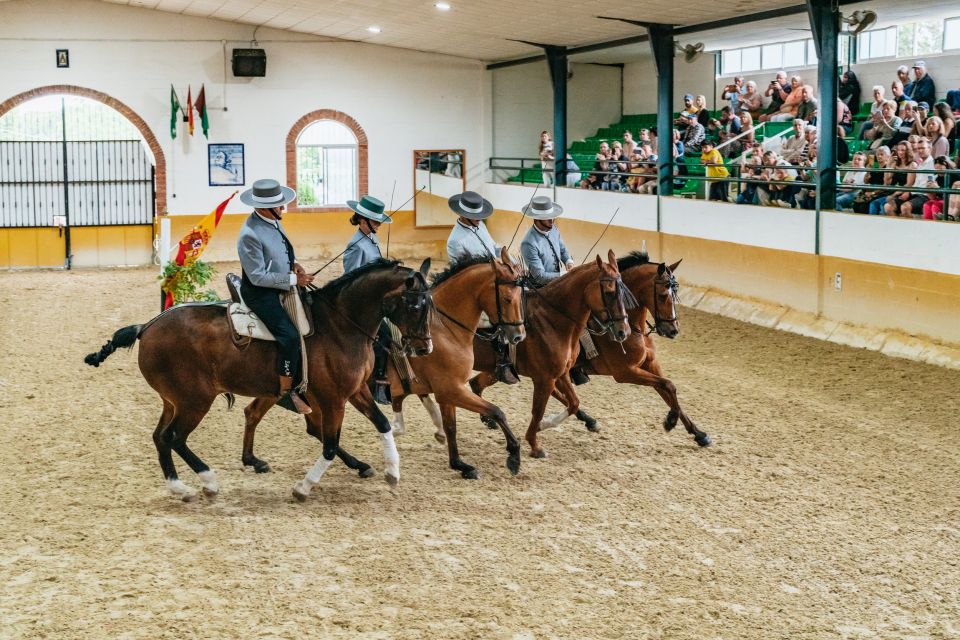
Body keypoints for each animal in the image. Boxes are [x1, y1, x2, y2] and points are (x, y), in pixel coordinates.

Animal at [85, 258, 432, 502]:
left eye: (429, 305)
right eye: (414, 304)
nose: (424, 348)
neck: (339, 325)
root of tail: (147, 326)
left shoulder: (355, 390)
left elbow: (382, 424)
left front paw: (392, 472)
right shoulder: (333, 398)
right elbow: (330, 445)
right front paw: (304, 487)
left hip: (174, 400)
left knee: (160, 438)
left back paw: (180, 488)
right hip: (195, 400)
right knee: (174, 438)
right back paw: (208, 481)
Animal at [239, 245, 524, 480]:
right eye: (508, 299)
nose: (518, 335)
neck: (445, 329)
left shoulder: (447, 392)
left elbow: (452, 427)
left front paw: (460, 465)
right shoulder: (451, 389)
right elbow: (496, 411)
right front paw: (513, 456)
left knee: (269, 416)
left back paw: (257, 460)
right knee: (279, 418)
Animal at [466, 248, 632, 458]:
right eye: (610, 293)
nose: (623, 332)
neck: (551, 320)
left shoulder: (560, 374)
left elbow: (573, 402)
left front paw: (544, 425)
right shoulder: (544, 379)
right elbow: (539, 410)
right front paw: (534, 444)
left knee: (475, 384)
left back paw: (488, 419)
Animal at [564, 252, 712, 448]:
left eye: (675, 294)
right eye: (662, 295)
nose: (673, 330)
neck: (633, 328)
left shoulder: (650, 364)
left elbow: (668, 389)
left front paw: (698, 434)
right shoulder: (626, 372)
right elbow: (668, 385)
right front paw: (670, 420)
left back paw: (589, 420)